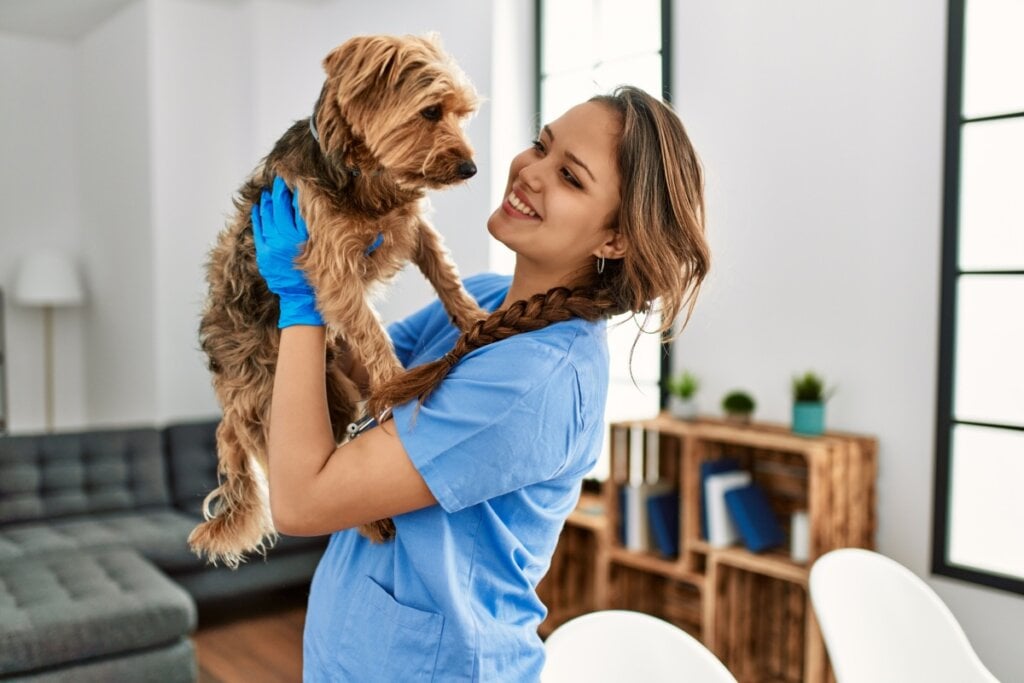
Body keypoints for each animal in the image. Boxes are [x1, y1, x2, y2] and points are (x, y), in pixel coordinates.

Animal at [191, 33, 487, 565]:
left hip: (335, 389)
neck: (367, 174)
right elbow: (368, 328)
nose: (471, 168)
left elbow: (445, 273)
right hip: (284, 403)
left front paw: (474, 318)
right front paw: (396, 382)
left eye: (461, 113)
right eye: (431, 111)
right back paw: (374, 522)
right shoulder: (331, 265)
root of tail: (227, 401)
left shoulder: (412, 226)